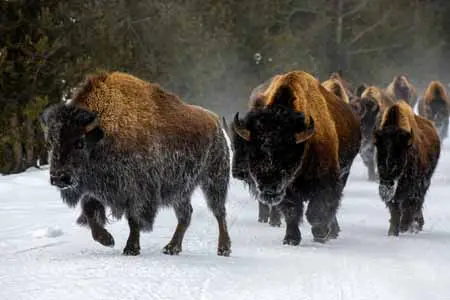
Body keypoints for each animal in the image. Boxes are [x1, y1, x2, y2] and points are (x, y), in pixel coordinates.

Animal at [38, 70, 232, 255]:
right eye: (49, 143)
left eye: (79, 143)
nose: (59, 177)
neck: (104, 134)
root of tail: (215, 122)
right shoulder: (95, 189)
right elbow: (90, 212)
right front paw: (107, 240)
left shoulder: (137, 191)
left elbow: (133, 219)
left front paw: (131, 249)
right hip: (180, 190)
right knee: (186, 215)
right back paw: (172, 248)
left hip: (214, 180)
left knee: (219, 212)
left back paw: (223, 249)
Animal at [230, 71, 360, 246]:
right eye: (253, 152)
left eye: (287, 153)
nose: (269, 188)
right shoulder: (287, 189)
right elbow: (292, 211)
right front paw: (291, 239)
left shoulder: (326, 181)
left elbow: (317, 209)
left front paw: (321, 234)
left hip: (344, 173)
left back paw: (333, 231)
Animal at [372, 99, 440, 236]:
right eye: (379, 161)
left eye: (398, 160)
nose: (385, 188)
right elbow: (395, 208)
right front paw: (393, 232)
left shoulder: (413, 186)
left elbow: (409, 204)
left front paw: (405, 227)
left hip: (425, 182)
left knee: (417, 203)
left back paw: (415, 225)